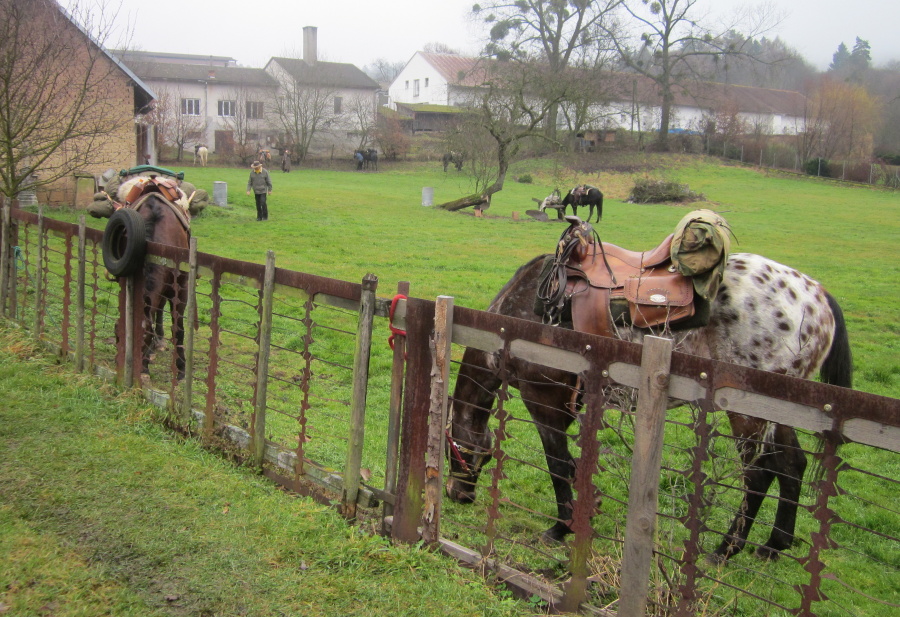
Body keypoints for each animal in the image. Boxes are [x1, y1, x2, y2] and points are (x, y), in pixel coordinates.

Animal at [446, 251, 856, 564]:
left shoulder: (543, 402)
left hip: (749, 414)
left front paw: (561, 528)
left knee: (759, 473)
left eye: (453, 450)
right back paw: (773, 544)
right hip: (776, 413)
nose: (457, 495)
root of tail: (817, 296)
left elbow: (559, 466)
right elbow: (578, 467)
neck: (517, 316)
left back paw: (724, 550)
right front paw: (586, 511)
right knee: (791, 465)